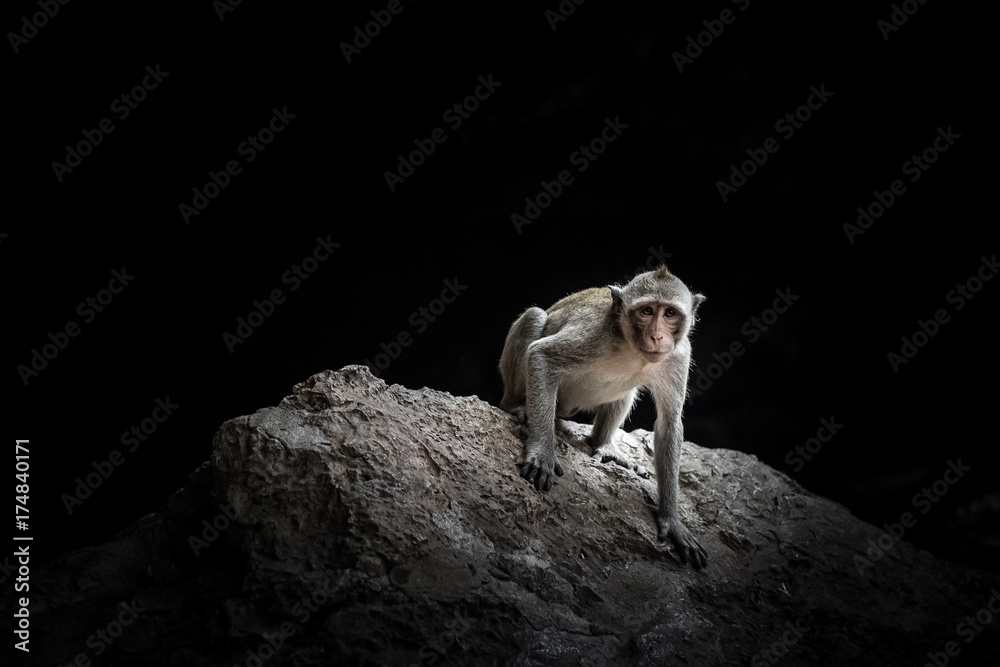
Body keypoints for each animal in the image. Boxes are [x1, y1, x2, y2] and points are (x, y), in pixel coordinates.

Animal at [498, 265, 707, 569]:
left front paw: (672, 520)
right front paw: (542, 452)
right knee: (535, 316)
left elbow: (669, 424)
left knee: (625, 391)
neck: (632, 348)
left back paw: (604, 443)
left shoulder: (678, 355)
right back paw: (519, 407)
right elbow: (542, 355)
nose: (657, 336)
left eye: (669, 313)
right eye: (646, 311)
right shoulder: (596, 336)